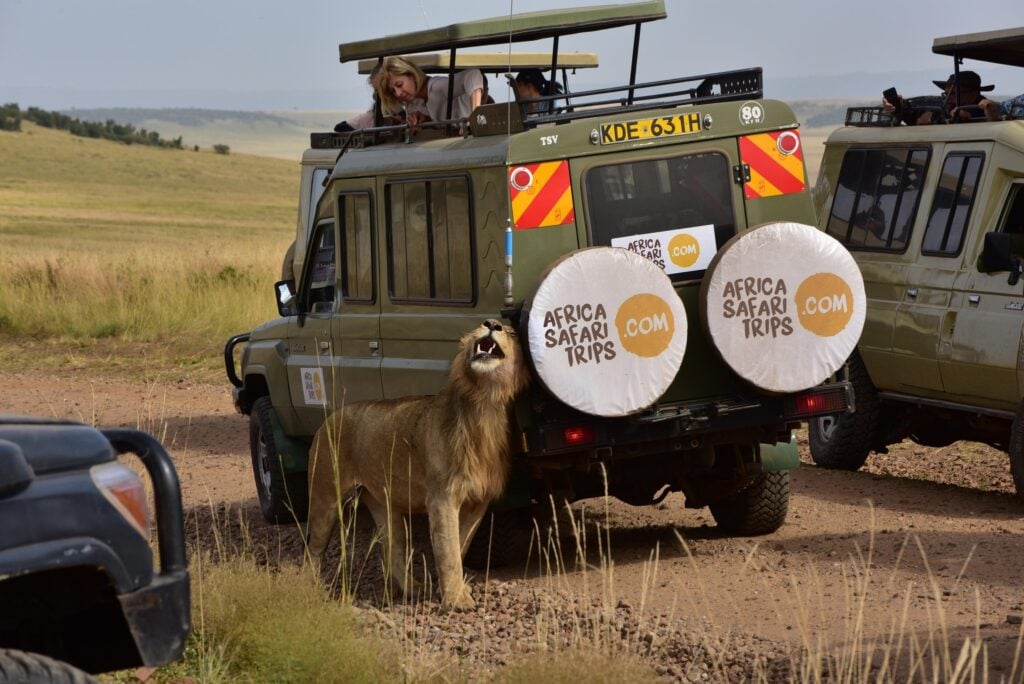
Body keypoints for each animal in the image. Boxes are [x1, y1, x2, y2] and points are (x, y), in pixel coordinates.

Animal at [306, 318, 529, 609]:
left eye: (511, 332)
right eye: (481, 326)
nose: (491, 323)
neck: (484, 402)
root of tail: (327, 420)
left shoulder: (478, 502)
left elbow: (460, 545)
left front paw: (451, 590)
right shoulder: (441, 498)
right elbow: (449, 552)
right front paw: (456, 600)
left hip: (384, 506)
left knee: (393, 551)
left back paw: (414, 589)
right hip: (325, 499)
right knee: (313, 550)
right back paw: (310, 591)